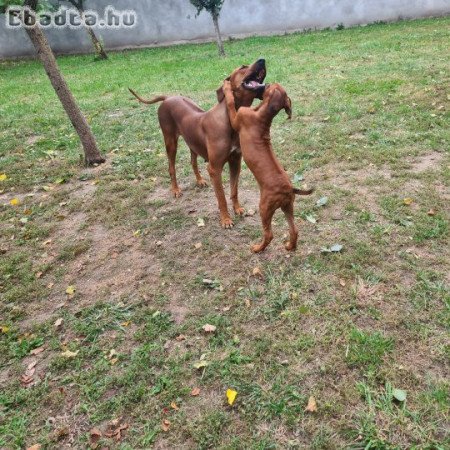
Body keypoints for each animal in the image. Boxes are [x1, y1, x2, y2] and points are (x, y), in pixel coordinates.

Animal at [128, 59, 266, 229]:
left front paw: (238, 209)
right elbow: (221, 197)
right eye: (242, 67)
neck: (229, 117)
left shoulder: (235, 162)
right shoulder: (214, 169)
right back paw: (175, 189)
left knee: (192, 161)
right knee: (171, 167)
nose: (262, 60)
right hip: (170, 141)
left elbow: (234, 190)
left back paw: (199, 180)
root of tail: (168, 98)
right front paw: (226, 219)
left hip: (192, 142)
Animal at [223, 81, 314, 253]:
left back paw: (257, 248)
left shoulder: (237, 118)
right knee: (294, 230)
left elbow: (231, 103)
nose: (268, 81)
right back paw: (289, 246)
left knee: (269, 235)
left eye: (273, 85)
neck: (262, 115)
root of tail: (289, 189)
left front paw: (226, 88)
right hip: (288, 207)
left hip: (264, 208)